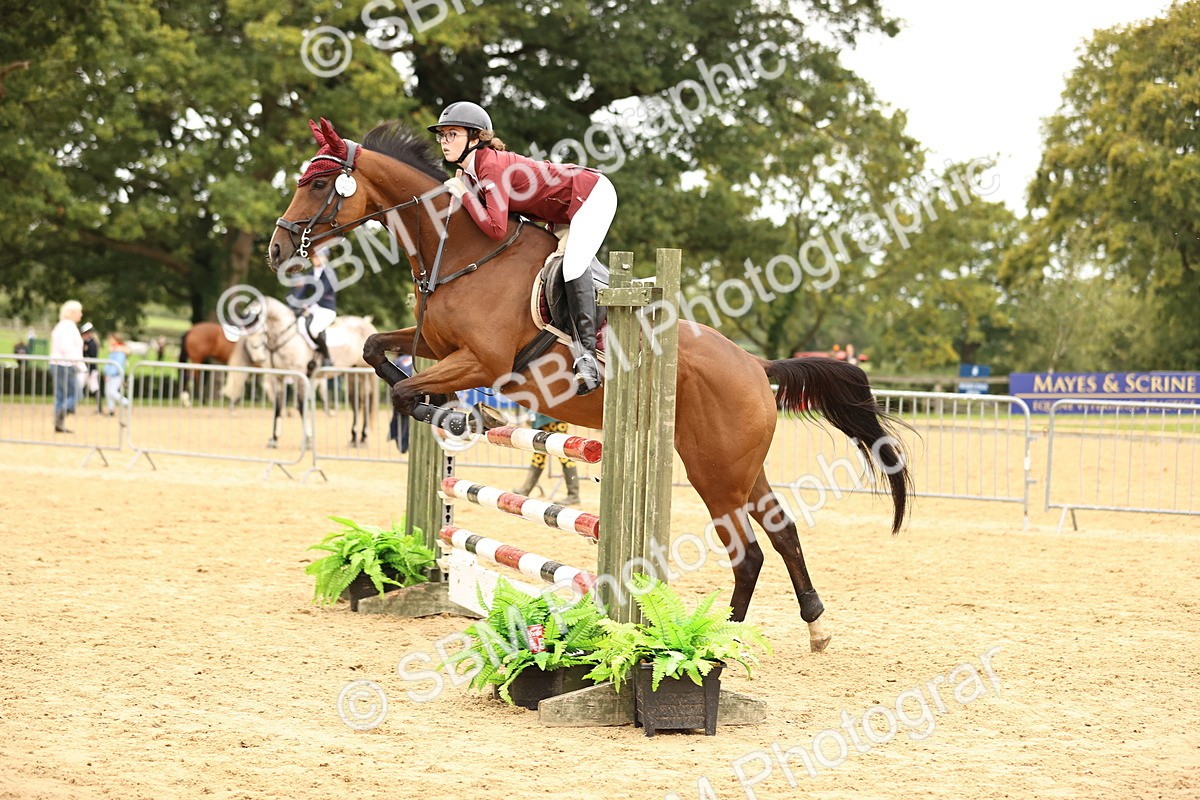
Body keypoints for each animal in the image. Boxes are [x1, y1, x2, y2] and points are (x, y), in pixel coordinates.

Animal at [235, 296, 378, 449]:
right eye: (245, 332)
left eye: (260, 330)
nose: (258, 358)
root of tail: (366, 323)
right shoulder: (278, 377)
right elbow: (278, 407)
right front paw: (274, 439)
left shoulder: (299, 375)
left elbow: (301, 406)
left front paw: (308, 440)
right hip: (352, 372)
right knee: (356, 402)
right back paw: (354, 438)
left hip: (363, 372)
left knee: (365, 401)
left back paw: (363, 438)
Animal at [267, 118, 910, 652]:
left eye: (317, 183)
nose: (277, 248)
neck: (463, 251)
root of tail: (756, 366)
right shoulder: (437, 347)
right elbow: (377, 350)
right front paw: (455, 412)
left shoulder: (482, 361)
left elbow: (406, 394)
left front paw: (456, 416)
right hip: (738, 466)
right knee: (783, 534)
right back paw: (809, 627)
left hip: (714, 471)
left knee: (748, 551)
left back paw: (712, 641)